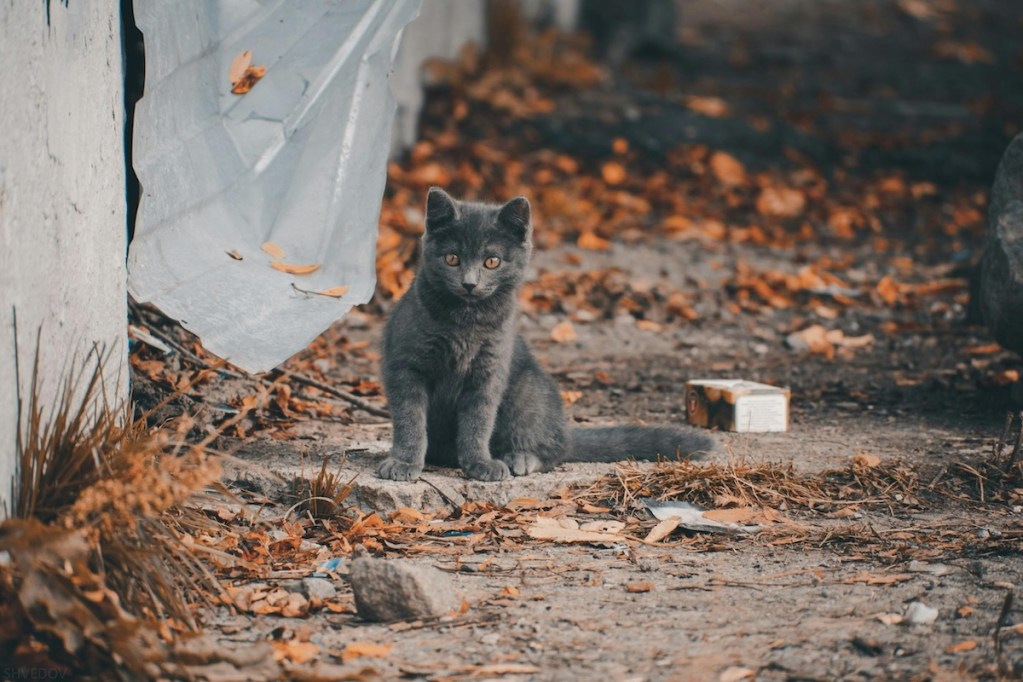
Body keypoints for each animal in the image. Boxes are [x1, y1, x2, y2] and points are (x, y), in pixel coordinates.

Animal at [372, 189, 716, 482]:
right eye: (452, 258)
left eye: (492, 261)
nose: (470, 283)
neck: (465, 323)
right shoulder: (406, 366)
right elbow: (410, 420)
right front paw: (404, 462)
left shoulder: (490, 371)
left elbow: (478, 422)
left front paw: (480, 463)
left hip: (528, 389)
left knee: (555, 447)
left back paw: (520, 458)